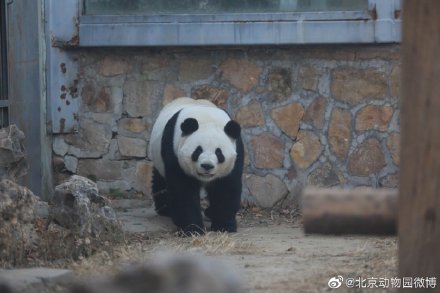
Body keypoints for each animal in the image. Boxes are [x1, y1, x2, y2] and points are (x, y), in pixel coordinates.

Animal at [149, 97, 244, 234]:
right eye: (198, 151)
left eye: (219, 152)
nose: (207, 166)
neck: (205, 116)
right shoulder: (174, 151)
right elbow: (183, 190)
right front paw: (193, 228)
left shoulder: (236, 153)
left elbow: (227, 188)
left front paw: (224, 226)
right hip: (158, 157)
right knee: (160, 181)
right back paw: (165, 209)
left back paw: (210, 212)